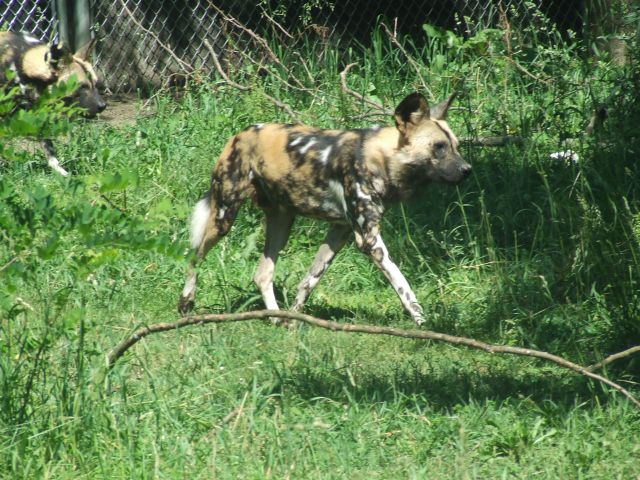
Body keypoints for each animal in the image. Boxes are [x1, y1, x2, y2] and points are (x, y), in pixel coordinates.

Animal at [0, 31, 106, 176]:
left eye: (95, 84)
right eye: (82, 87)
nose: (103, 106)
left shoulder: (38, 115)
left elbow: (49, 148)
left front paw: (61, 172)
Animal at [178, 92, 471, 325]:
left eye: (456, 146)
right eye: (439, 147)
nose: (467, 170)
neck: (381, 159)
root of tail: (240, 134)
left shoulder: (340, 231)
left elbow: (310, 279)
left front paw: (295, 318)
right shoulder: (369, 241)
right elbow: (403, 285)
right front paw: (423, 322)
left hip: (282, 223)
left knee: (262, 274)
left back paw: (276, 318)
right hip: (224, 216)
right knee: (195, 256)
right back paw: (186, 302)